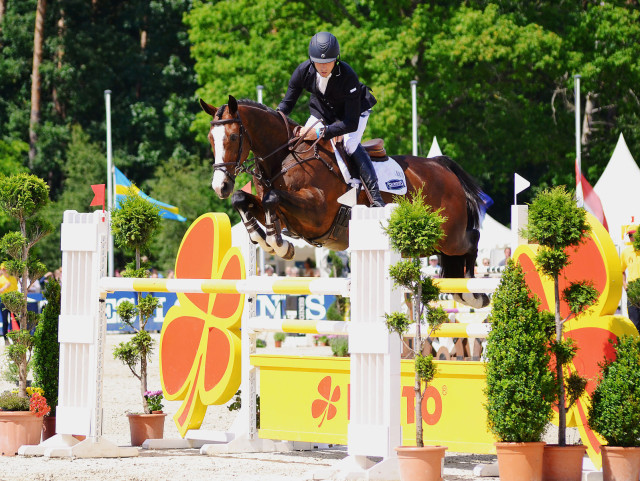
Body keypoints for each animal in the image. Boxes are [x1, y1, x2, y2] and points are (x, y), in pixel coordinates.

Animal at [200, 95, 490, 308]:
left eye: (233, 137)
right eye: (210, 139)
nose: (220, 186)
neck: (283, 158)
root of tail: (441, 166)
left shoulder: (317, 213)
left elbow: (273, 199)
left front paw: (279, 245)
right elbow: (244, 199)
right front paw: (264, 238)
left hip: (448, 235)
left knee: (472, 239)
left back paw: (475, 292)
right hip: (423, 243)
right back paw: (464, 294)